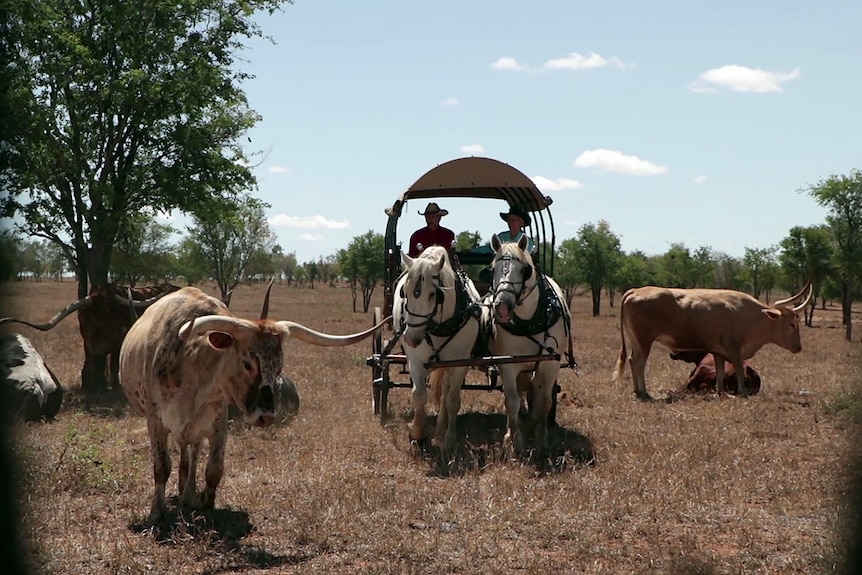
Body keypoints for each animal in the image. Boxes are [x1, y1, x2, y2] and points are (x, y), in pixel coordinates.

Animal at [0, 282, 180, 392]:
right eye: (105, 310)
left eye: (118, 309)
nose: (124, 329)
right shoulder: (87, 343)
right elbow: (90, 364)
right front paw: (90, 387)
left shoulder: (117, 345)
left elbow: (114, 365)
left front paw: (115, 387)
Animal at [120, 286, 390, 524]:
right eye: (248, 363)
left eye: (279, 365)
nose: (266, 416)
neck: (192, 368)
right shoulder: (155, 422)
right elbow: (161, 467)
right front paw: (157, 512)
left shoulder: (218, 422)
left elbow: (214, 468)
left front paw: (202, 500)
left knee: (193, 453)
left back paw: (187, 491)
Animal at [394, 248, 482, 454]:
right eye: (405, 292)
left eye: (433, 294)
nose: (410, 338)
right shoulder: (415, 360)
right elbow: (419, 395)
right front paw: (417, 434)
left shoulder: (460, 364)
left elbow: (452, 400)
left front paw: (449, 439)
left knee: (445, 392)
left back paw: (441, 431)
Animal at [486, 233, 572, 454]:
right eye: (492, 269)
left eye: (525, 270)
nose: (502, 308)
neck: (529, 322)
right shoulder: (508, 364)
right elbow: (512, 400)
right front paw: (513, 438)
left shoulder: (550, 364)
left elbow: (545, 401)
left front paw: (541, 437)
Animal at [616, 284, 808, 400]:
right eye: (792, 324)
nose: (798, 347)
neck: (749, 315)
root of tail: (636, 290)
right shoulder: (734, 350)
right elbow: (739, 369)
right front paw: (742, 392)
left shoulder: (718, 352)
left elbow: (721, 371)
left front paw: (720, 392)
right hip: (644, 341)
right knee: (639, 363)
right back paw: (643, 391)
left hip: (636, 341)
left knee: (632, 360)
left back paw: (636, 390)